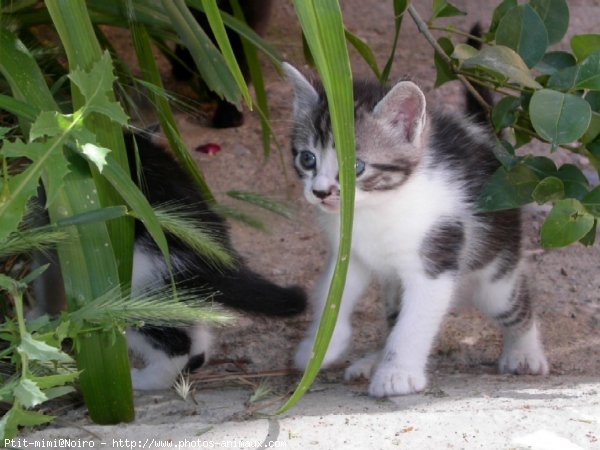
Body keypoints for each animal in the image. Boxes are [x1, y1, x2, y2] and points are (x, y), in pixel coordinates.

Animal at [284, 62, 552, 398]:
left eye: (356, 167)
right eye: (308, 158)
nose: (320, 192)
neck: (375, 208)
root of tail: (485, 141)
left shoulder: (435, 260)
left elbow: (414, 324)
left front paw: (397, 374)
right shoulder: (347, 254)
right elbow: (331, 295)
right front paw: (320, 347)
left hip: (495, 274)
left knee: (515, 304)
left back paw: (525, 353)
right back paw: (373, 361)